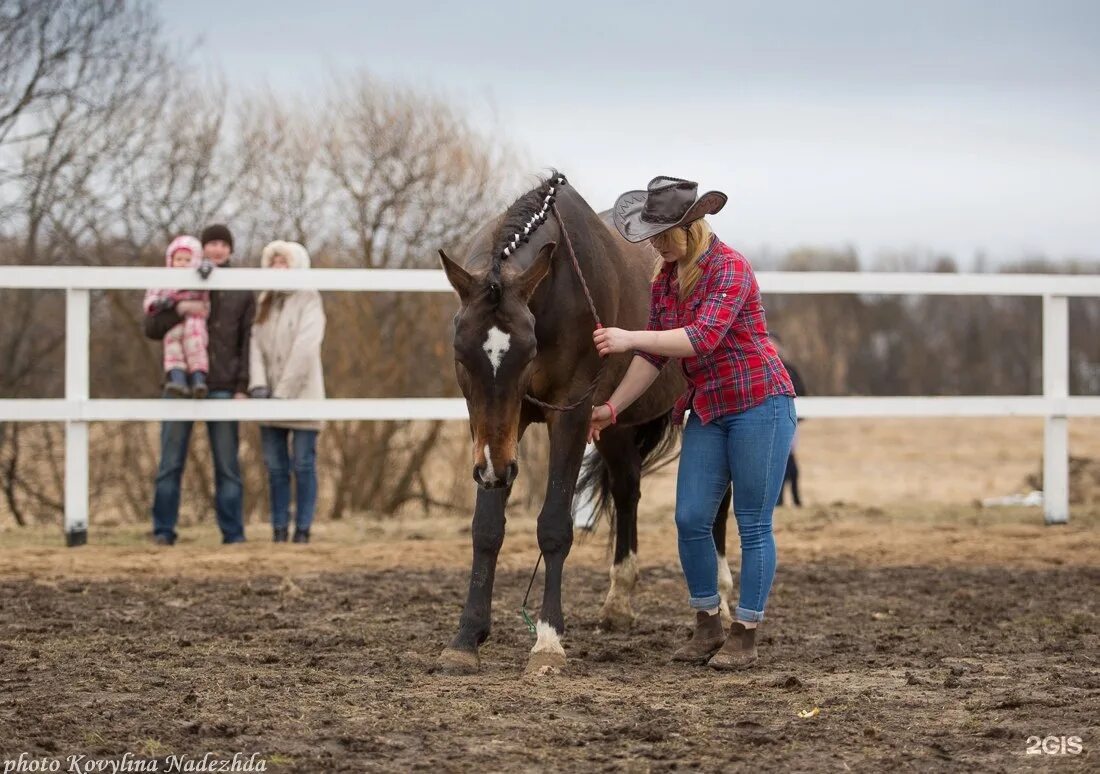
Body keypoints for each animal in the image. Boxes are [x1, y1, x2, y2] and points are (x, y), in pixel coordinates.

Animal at [435, 172, 730, 672]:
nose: (495, 470)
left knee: (722, 503)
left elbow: (555, 525)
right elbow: (486, 529)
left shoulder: (571, 415)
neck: (553, 294)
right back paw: (619, 602)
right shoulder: (500, 438)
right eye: (461, 356)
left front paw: (548, 640)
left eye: (527, 353)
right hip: (615, 425)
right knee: (628, 491)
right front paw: (466, 637)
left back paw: (727, 600)